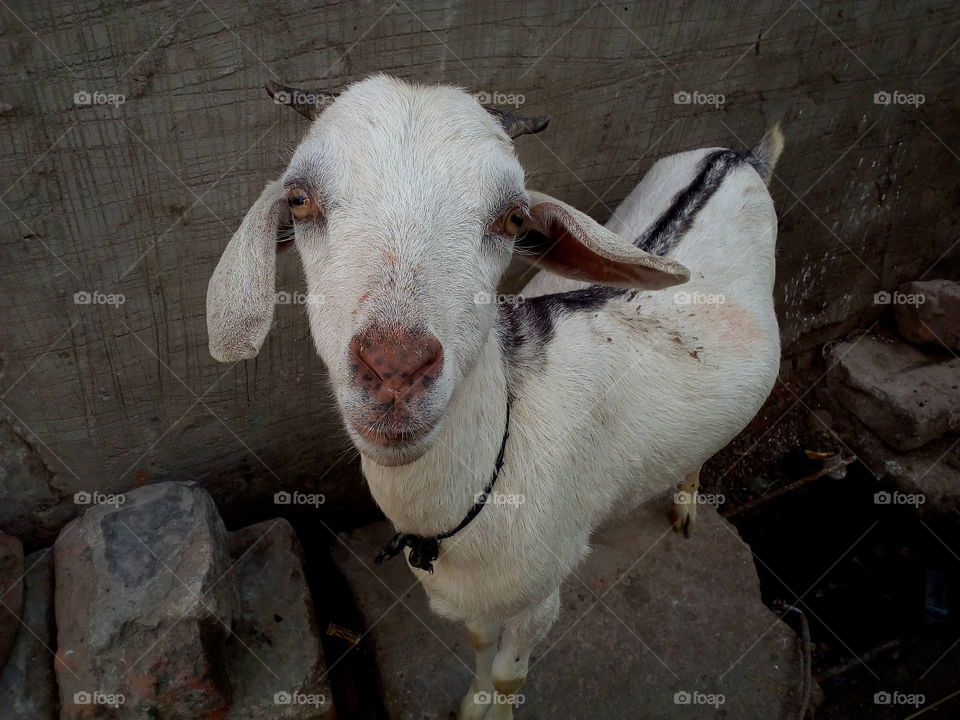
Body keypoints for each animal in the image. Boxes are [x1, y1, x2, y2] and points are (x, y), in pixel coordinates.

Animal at [206, 74, 784, 719]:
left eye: (512, 217)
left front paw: (496, 705)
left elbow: (511, 674)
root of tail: (737, 157)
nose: (394, 370)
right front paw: (470, 704)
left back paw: (686, 501)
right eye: (299, 199)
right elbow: (480, 644)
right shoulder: (473, 597)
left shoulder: (543, 585)